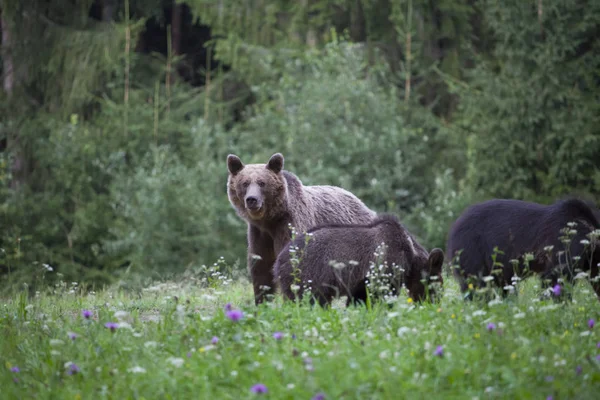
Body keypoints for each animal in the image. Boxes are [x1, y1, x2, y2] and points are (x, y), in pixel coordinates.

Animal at [226, 152, 376, 304]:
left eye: (262, 183)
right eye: (245, 183)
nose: (252, 199)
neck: (270, 220)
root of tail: (365, 206)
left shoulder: (289, 226)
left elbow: (292, 264)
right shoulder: (259, 234)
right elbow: (261, 269)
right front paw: (263, 301)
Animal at [272, 212, 446, 306]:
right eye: (438, 284)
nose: (434, 303)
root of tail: (279, 259)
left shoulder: (361, 281)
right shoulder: (384, 268)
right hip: (308, 276)